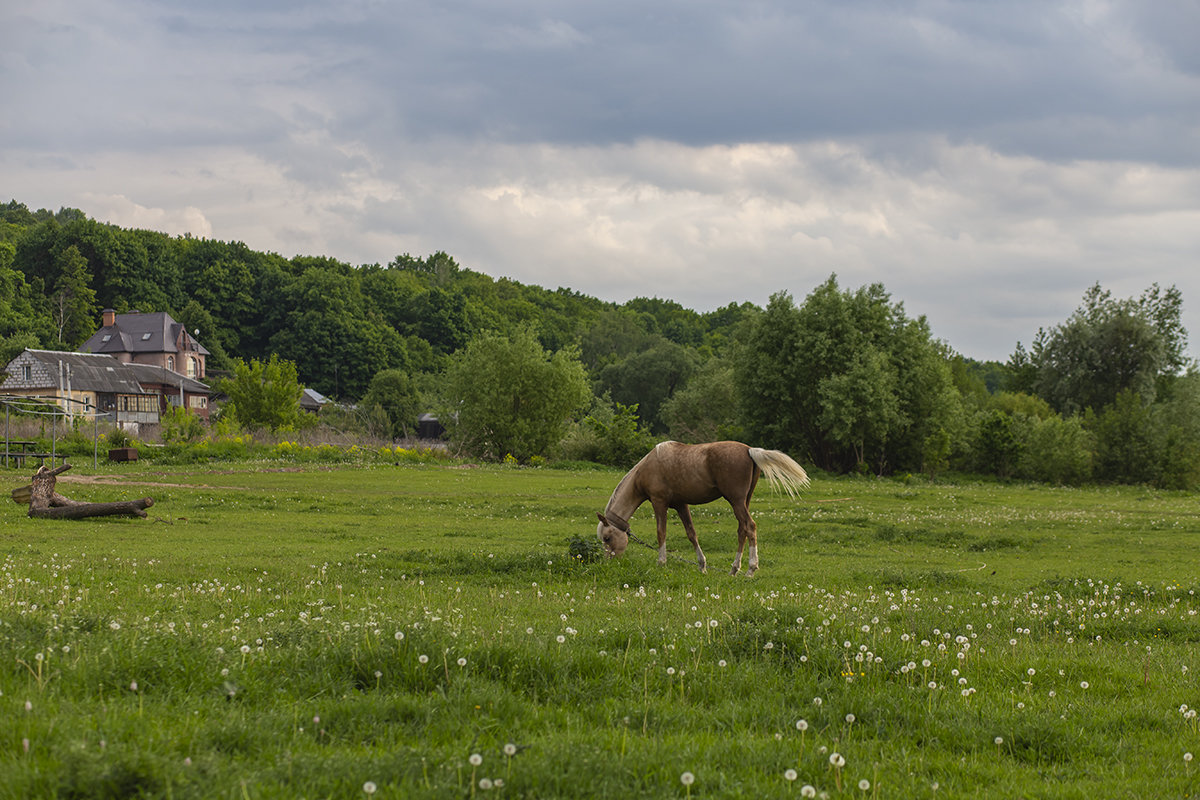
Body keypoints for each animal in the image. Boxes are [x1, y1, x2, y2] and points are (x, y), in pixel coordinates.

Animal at [595, 443, 811, 575]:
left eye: (607, 538)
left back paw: (751, 568)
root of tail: (750, 450)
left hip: (736, 501)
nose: (608, 563)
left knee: (750, 526)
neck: (647, 468)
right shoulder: (681, 505)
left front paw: (661, 563)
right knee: (742, 529)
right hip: (744, 501)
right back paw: (734, 569)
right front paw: (702, 566)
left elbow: (661, 533)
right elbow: (692, 534)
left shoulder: (659, 502)